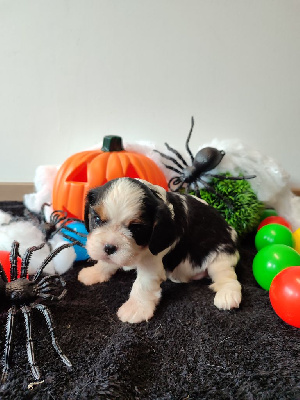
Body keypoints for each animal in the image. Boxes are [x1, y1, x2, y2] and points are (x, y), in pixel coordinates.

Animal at [78, 178, 241, 324]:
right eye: (97, 219)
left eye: (136, 228)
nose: (109, 247)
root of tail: (230, 230)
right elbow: (106, 263)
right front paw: (94, 272)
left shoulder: (152, 261)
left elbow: (142, 284)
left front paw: (135, 308)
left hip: (219, 256)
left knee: (226, 276)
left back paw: (227, 295)